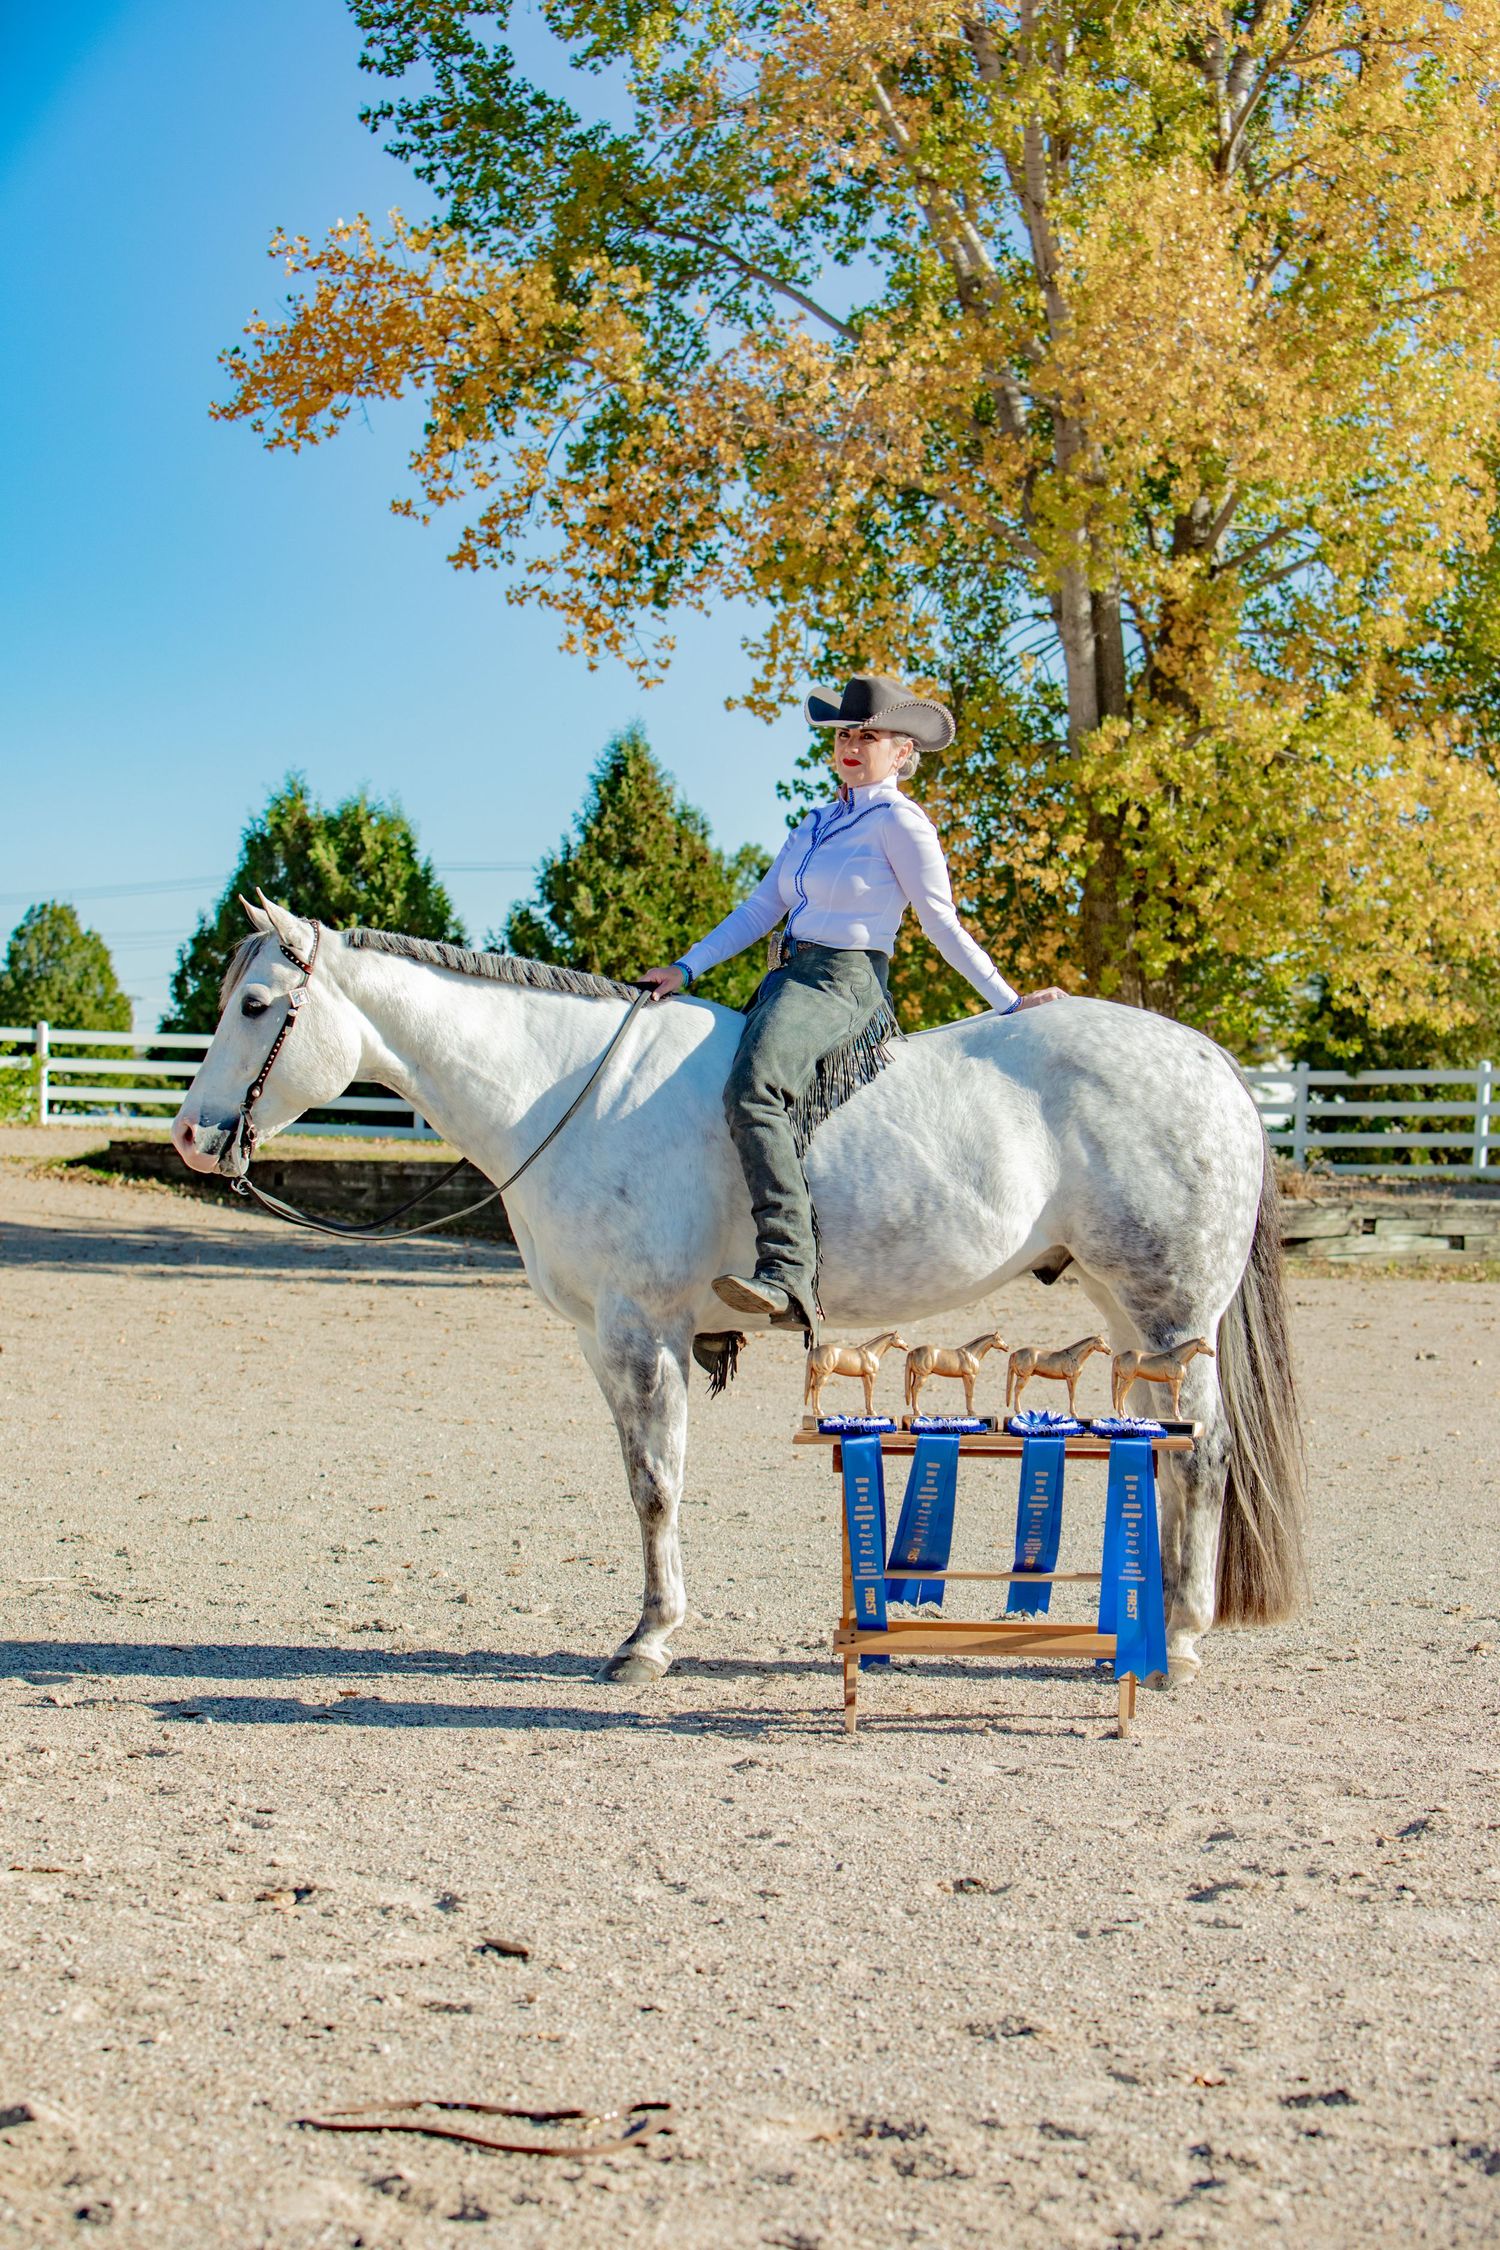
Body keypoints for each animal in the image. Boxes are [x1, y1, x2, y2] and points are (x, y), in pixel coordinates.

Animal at [171, 900, 1306, 1687]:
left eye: (257, 1007)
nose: (191, 1135)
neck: (572, 1092)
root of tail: (1208, 1060)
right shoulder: (602, 1340)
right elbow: (645, 1480)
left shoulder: (644, 1332)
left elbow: (655, 1485)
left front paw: (648, 1641)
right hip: (1135, 1320)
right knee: (1167, 1451)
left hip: (1168, 1310)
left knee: (1202, 1455)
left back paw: (1182, 1644)